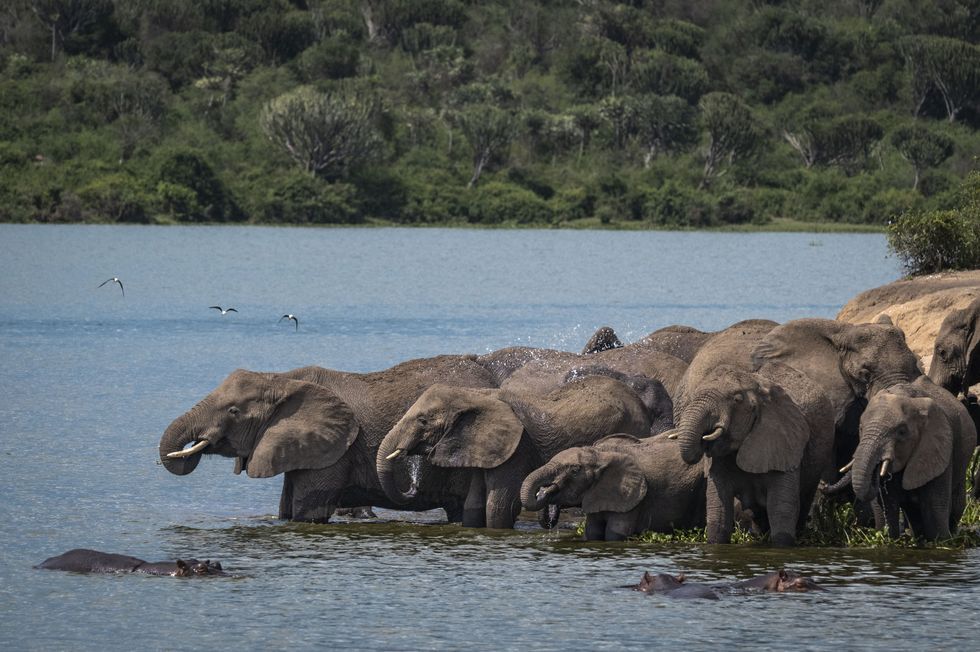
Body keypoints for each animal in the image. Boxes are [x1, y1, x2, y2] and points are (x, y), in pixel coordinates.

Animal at [376, 375, 655, 529]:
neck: (474, 395)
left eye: (423, 421)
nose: (412, 485)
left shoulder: (517, 447)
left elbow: (499, 505)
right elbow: (474, 502)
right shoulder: (483, 446)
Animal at [520, 433, 705, 541]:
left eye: (575, 470)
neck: (600, 455)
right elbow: (592, 532)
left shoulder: (632, 499)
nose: (545, 490)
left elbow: (614, 533)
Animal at [851, 382, 972, 539]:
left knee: (956, 503)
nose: (879, 469)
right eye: (860, 428)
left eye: (902, 432)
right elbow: (887, 504)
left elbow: (934, 508)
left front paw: (942, 541)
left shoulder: (939, 448)